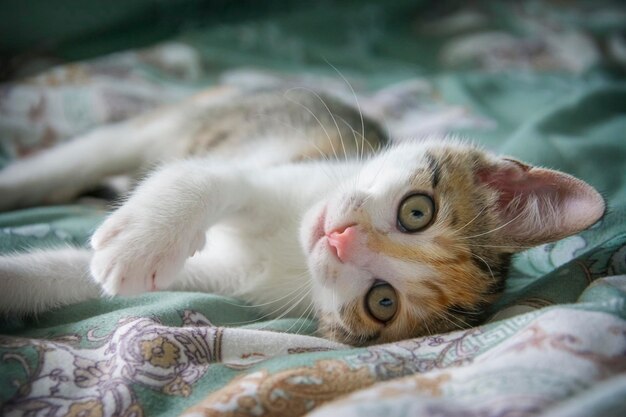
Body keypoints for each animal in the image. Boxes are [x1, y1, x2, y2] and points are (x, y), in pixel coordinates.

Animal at [0, 87, 604, 344]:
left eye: (383, 302)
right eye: (418, 211)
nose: (338, 238)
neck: (288, 246)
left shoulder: (227, 280)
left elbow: (62, 277)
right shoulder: (281, 173)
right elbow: (203, 177)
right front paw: (142, 241)